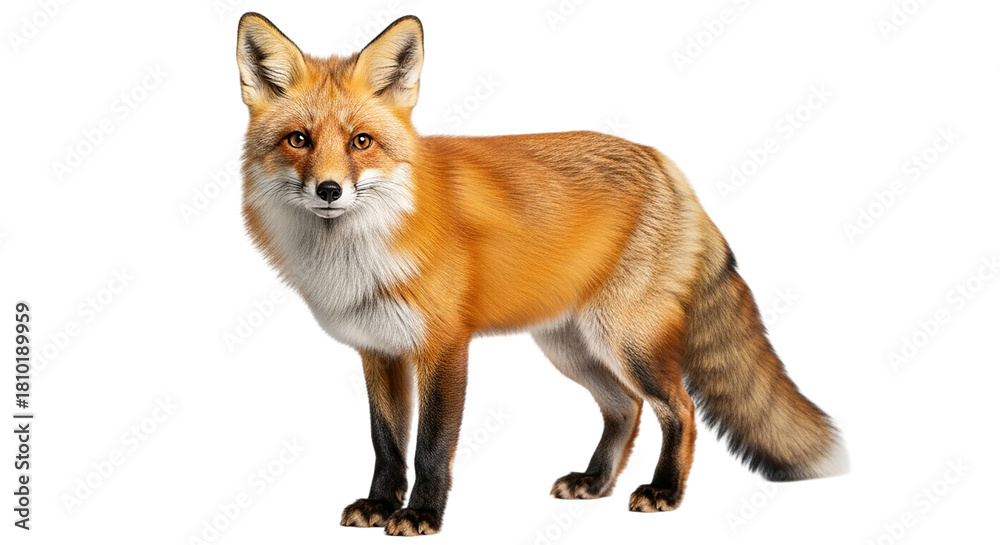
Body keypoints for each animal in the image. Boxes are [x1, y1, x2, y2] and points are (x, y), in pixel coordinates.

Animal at [235, 12, 847, 536]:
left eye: (361, 141)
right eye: (298, 140)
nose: (329, 190)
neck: (360, 256)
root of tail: (665, 163)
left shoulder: (444, 347)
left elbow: (431, 445)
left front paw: (422, 515)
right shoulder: (378, 352)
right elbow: (386, 443)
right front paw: (380, 505)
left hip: (625, 341)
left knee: (680, 409)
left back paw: (665, 491)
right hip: (572, 347)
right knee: (625, 409)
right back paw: (596, 481)